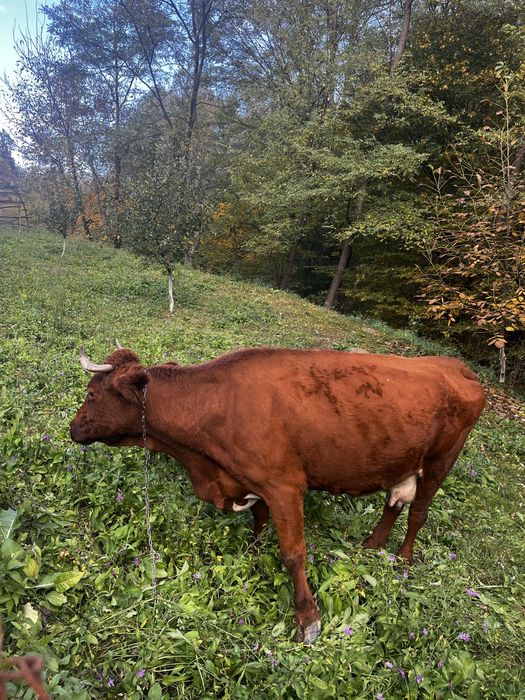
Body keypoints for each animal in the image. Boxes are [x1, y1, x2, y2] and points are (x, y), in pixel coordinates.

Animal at [70, 346, 485, 644]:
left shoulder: (285, 486)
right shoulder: (252, 481)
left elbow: (293, 554)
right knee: (394, 503)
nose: (72, 429)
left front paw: (308, 620)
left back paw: (402, 560)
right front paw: (254, 555)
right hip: (404, 461)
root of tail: (454, 366)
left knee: (418, 512)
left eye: (90, 395)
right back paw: (371, 546)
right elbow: (259, 522)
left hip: (441, 461)